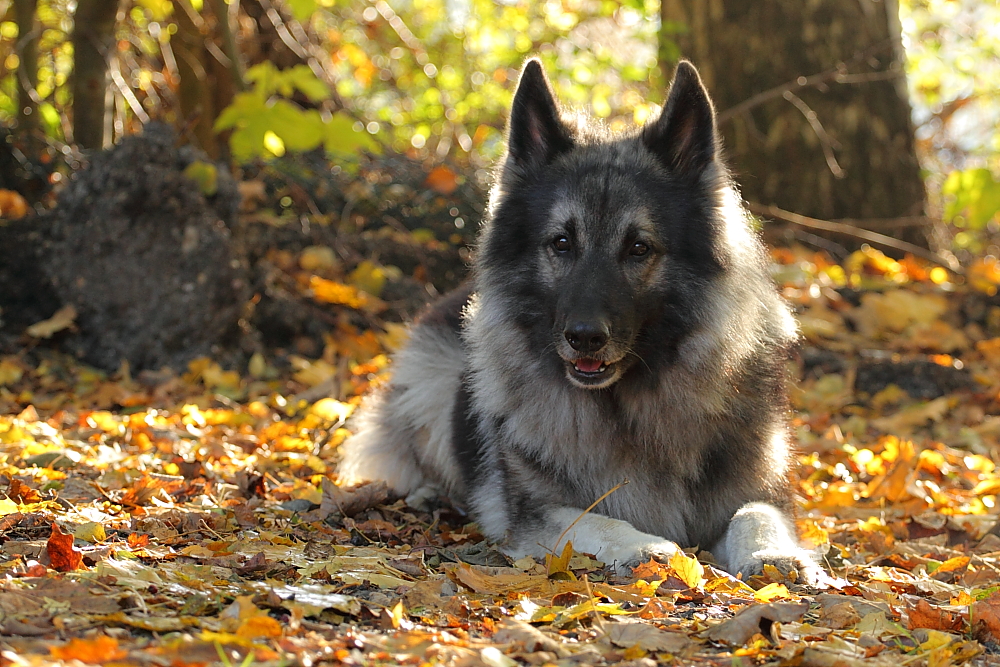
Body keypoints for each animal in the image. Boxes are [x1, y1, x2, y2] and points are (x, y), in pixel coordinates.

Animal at [338, 57, 820, 580]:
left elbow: (756, 514)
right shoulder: (536, 512)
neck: (631, 407)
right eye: (562, 243)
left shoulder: (760, 490)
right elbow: (593, 518)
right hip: (432, 379)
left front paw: (775, 556)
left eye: (639, 248)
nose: (584, 337)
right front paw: (648, 547)